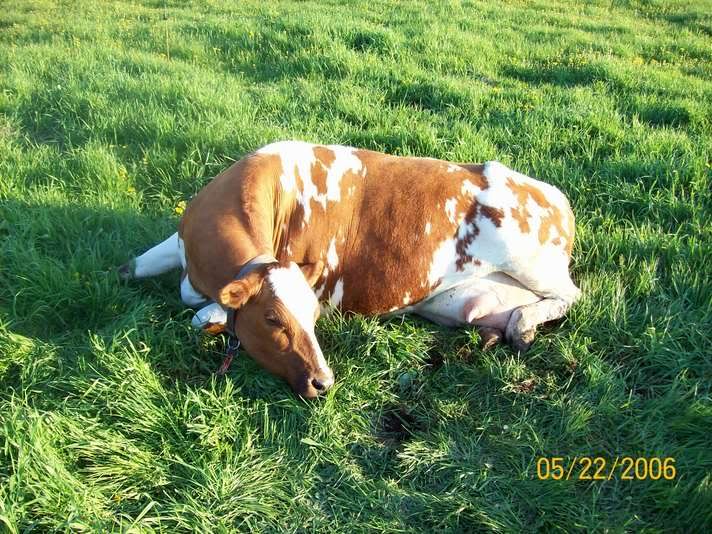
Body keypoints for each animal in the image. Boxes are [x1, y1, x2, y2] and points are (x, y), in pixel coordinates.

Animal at [120, 141, 581, 398]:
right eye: (272, 319)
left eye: (312, 317)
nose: (322, 382)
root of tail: (555, 195)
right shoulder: (179, 244)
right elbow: (133, 266)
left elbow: (201, 315)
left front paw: (210, 321)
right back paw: (494, 333)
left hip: (532, 263)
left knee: (570, 295)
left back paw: (524, 325)